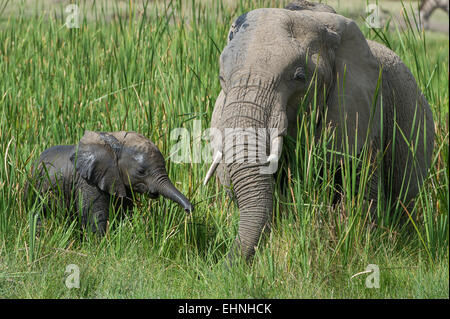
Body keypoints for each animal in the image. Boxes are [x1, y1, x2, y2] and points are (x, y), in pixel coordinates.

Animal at [25, 131, 192, 235]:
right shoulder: (88, 181)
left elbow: (124, 212)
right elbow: (94, 214)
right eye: (141, 172)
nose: (189, 210)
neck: (114, 143)